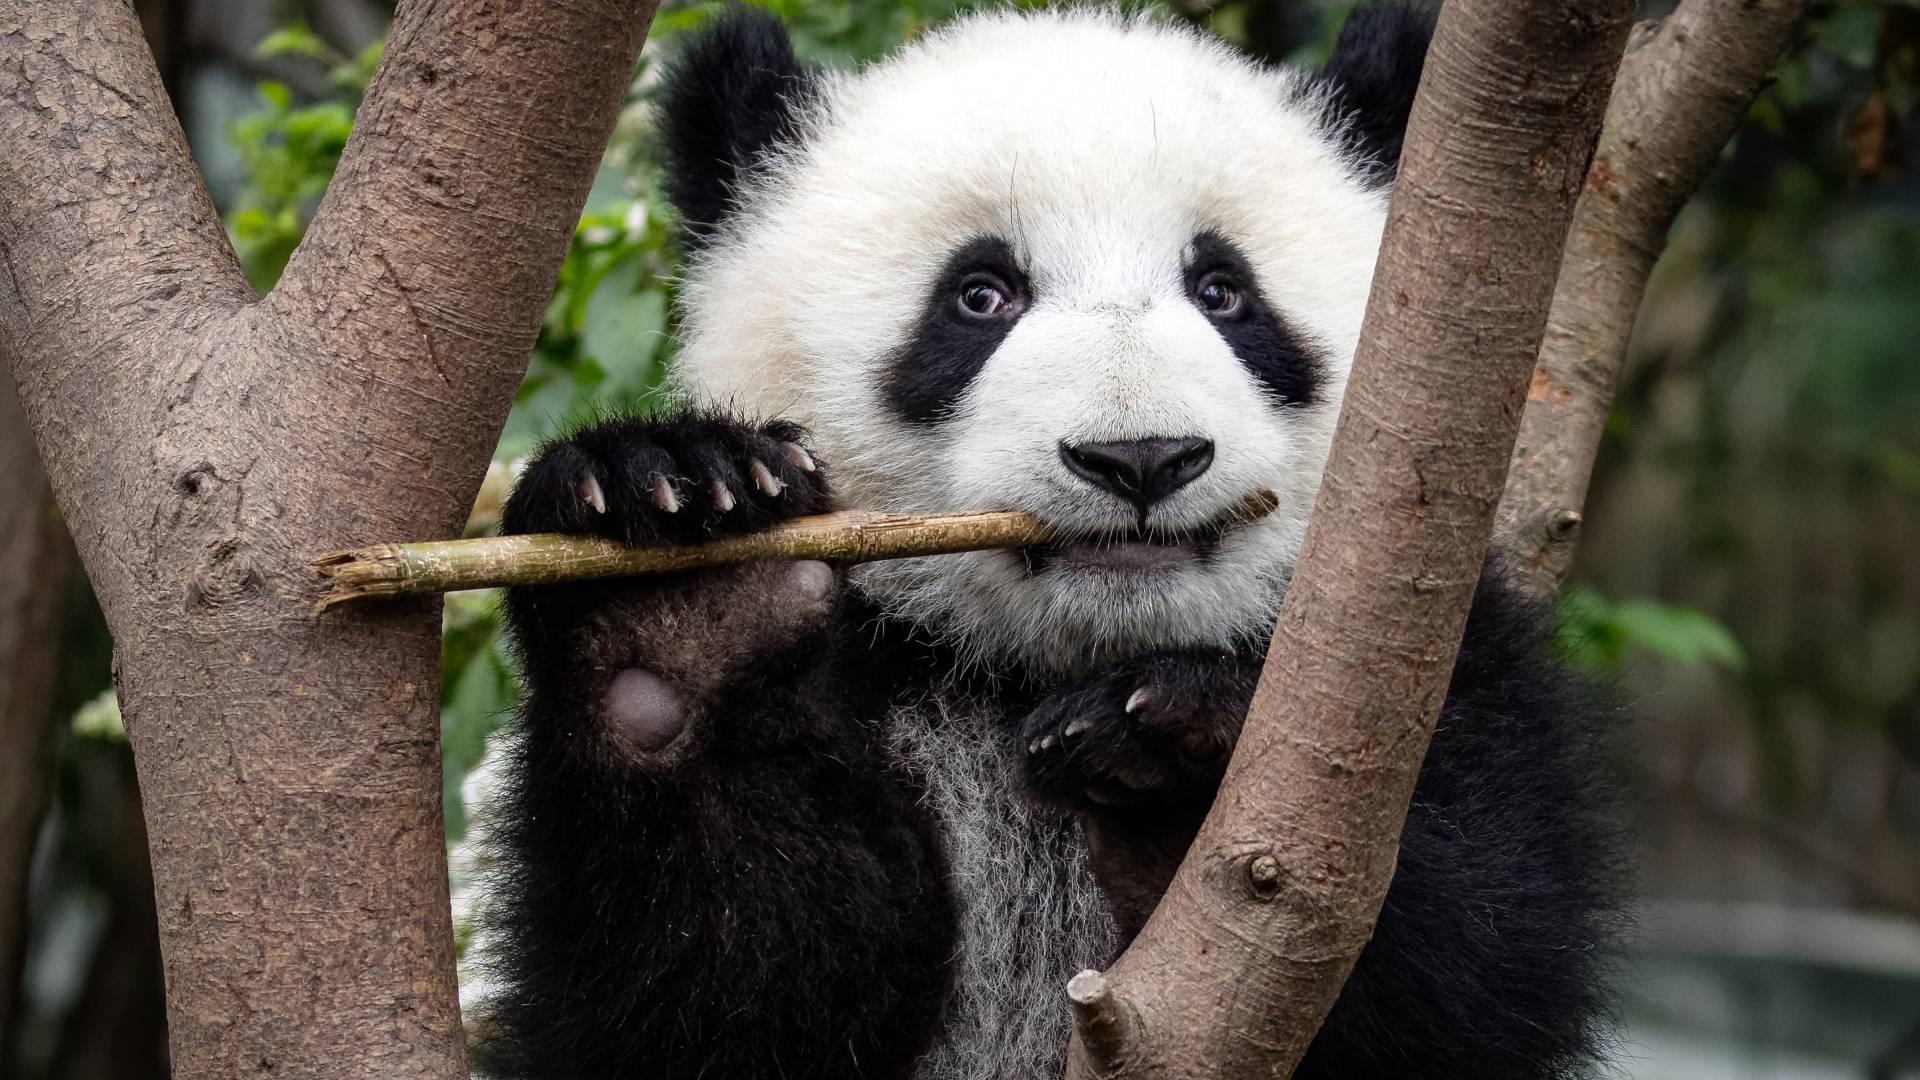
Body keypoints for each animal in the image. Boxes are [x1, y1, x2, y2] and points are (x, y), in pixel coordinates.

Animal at [476, 4, 1620, 1068]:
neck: (1042, 668)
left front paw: (1173, 754)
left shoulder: (1431, 657)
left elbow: (1477, 959)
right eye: (981, 295)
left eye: (1225, 292)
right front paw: (684, 597)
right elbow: (717, 988)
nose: (1142, 458)